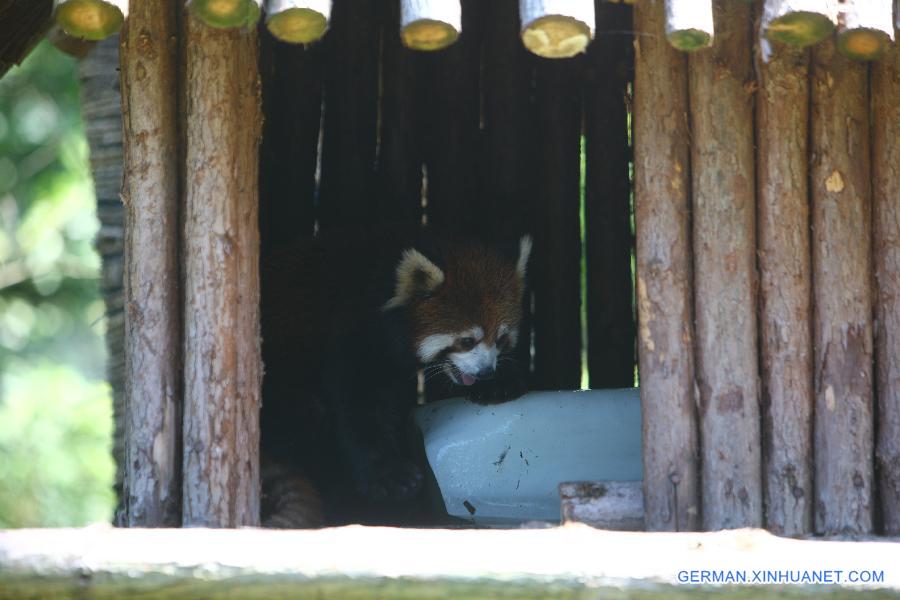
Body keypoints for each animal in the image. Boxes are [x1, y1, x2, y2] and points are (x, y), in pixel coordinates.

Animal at [258, 225, 528, 524]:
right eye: (467, 341)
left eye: (501, 339)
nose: (486, 372)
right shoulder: (353, 330)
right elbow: (362, 405)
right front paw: (389, 475)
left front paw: (501, 381)